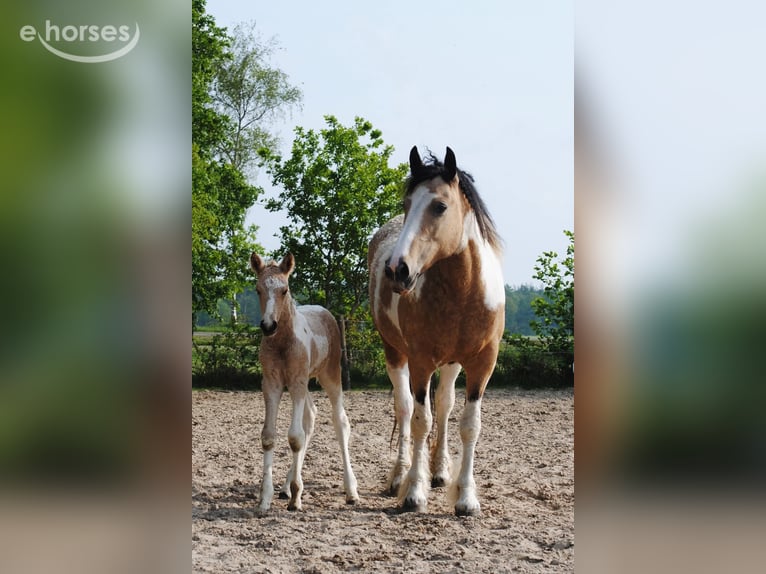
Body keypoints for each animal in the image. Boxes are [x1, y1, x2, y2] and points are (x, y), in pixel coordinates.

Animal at [250, 252, 359, 513]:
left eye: (285, 290)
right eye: (258, 290)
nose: (268, 326)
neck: (282, 342)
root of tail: (325, 312)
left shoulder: (297, 382)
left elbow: (294, 437)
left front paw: (296, 498)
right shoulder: (272, 383)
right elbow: (269, 436)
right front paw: (265, 498)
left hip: (329, 376)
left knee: (340, 422)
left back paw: (351, 490)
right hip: (304, 381)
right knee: (311, 415)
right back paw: (285, 487)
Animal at [368, 146, 505, 516]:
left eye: (440, 206)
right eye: (407, 203)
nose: (397, 270)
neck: (464, 293)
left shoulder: (482, 364)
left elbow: (469, 425)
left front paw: (466, 498)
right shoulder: (420, 361)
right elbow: (419, 421)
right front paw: (415, 492)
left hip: (453, 363)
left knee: (444, 405)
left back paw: (441, 471)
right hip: (395, 353)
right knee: (404, 408)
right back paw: (399, 476)